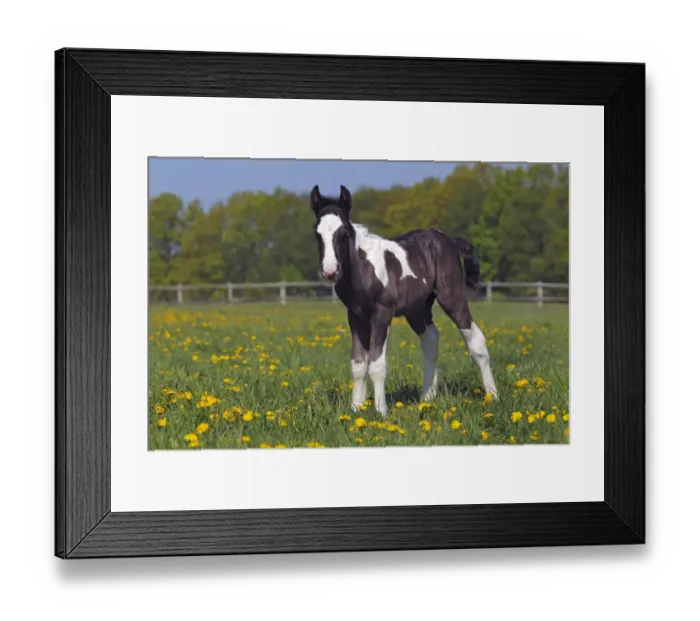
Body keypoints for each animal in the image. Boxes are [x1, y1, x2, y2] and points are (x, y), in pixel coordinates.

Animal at [310, 184, 498, 417]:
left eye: (344, 233)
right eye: (317, 234)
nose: (330, 271)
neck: (362, 269)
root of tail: (451, 241)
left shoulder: (382, 313)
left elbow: (376, 364)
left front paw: (381, 412)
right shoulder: (355, 315)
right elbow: (358, 364)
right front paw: (355, 409)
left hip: (451, 298)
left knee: (476, 340)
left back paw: (492, 396)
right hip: (416, 310)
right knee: (431, 341)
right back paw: (427, 398)